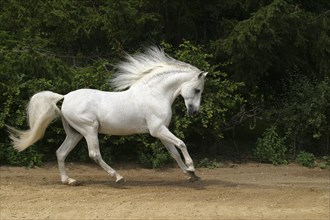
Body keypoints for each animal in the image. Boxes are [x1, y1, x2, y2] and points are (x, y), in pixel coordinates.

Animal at [9, 47, 208, 185]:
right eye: (197, 90)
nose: (194, 112)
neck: (154, 94)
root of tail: (65, 97)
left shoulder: (161, 131)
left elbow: (174, 152)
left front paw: (191, 175)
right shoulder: (157, 129)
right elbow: (181, 143)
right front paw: (192, 168)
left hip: (75, 133)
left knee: (61, 152)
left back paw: (69, 181)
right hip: (89, 129)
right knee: (94, 154)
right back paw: (118, 177)